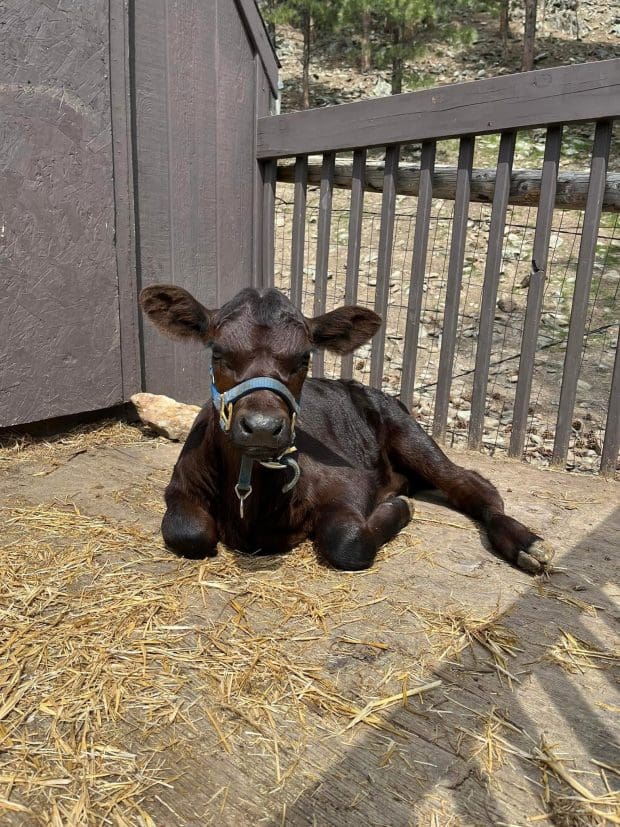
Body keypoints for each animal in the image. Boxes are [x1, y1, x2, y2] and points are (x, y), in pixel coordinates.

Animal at [139, 285, 554, 574]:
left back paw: (526, 543)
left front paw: (398, 509)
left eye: (304, 358)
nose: (261, 428)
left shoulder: (349, 485)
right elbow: (189, 532)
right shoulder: (180, 487)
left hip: (409, 432)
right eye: (217, 353)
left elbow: (348, 542)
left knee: (471, 484)